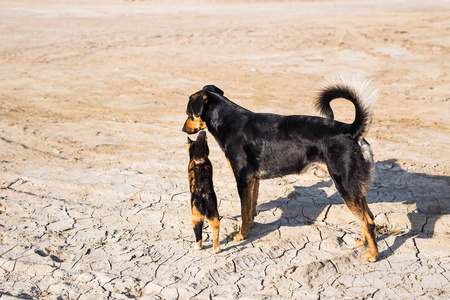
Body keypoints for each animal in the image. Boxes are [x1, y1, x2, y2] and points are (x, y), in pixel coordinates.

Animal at [183, 74, 380, 262]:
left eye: (189, 113)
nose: (184, 129)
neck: (228, 121)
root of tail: (351, 131)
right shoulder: (253, 180)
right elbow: (250, 209)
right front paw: (250, 227)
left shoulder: (243, 179)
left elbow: (244, 211)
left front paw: (241, 235)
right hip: (355, 189)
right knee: (368, 217)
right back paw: (362, 242)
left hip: (345, 186)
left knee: (368, 222)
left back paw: (373, 255)